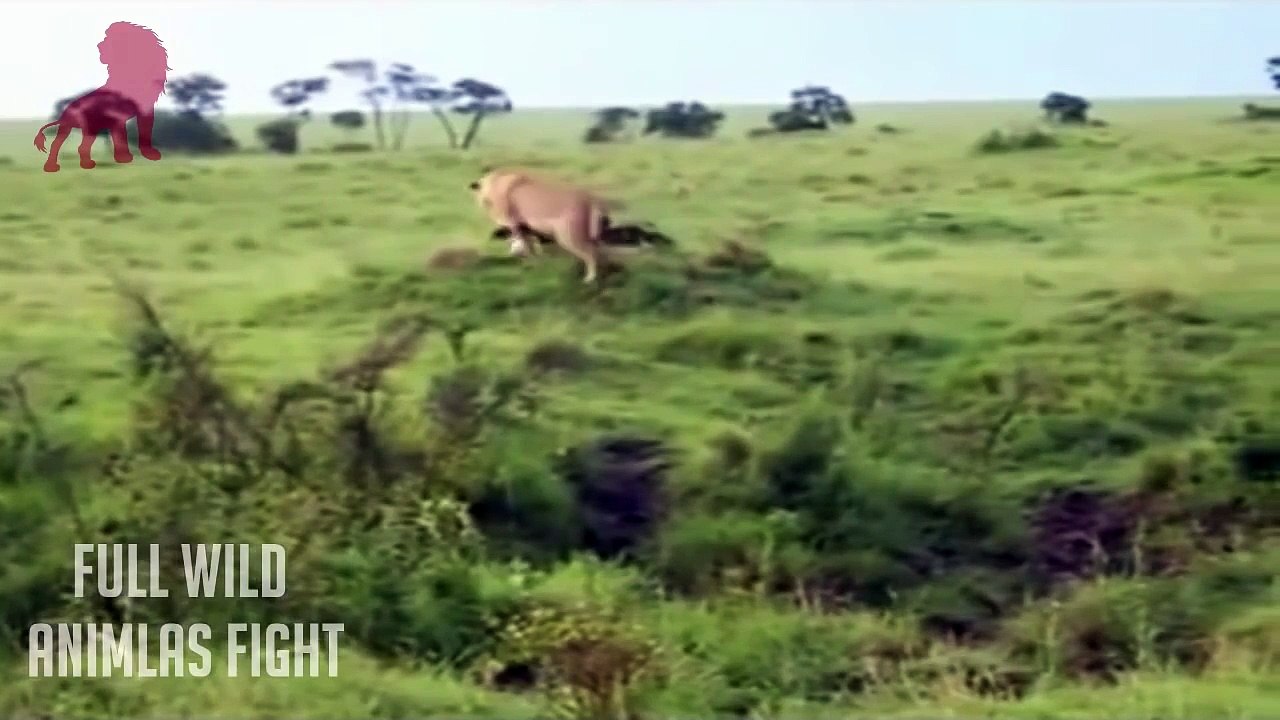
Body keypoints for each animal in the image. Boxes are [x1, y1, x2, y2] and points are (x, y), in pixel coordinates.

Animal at [34, 22, 170, 173]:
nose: (98, 46)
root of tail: (66, 111)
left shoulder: (145, 107)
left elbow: (145, 130)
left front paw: (149, 155)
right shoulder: (117, 115)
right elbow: (121, 136)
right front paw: (124, 158)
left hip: (73, 127)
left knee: (62, 144)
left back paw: (58, 167)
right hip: (89, 127)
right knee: (76, 146)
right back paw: (77, 166)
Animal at [469, 167, 619, 284]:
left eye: (487, 201)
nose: (484, 203)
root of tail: (592, 200)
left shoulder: (513, 224)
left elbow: (520, 243)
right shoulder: (525, 226)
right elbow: (531, 246)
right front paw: (534, 265)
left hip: (569, 238)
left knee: (590, 254)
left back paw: (589, 279)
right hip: (591, 236)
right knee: (601, 253)